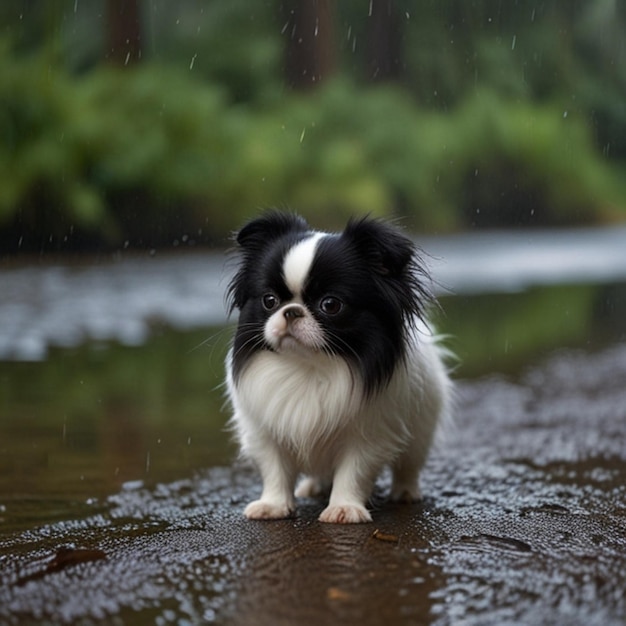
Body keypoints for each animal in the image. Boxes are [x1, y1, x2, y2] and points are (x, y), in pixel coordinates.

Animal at [224, 211, 448, 520]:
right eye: (269, 300)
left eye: (330, 305)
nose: (291, 312)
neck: (309, 366)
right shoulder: (266, 433)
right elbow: (275, 469)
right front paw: (273, 506)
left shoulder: (368, 437)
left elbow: (353, 472)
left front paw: (344, 508)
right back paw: (313, 487)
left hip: (420, 431)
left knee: (408, 466)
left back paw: (405, 493)